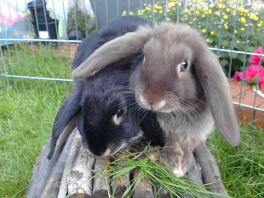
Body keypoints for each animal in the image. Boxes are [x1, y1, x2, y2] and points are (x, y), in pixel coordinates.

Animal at [71, 21, 239, 176]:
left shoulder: (194, 132)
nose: (150, 99)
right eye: (144, 57)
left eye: (185, 64)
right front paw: (170, 162)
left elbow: (185, 146)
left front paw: (180, 165)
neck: (178, 112)